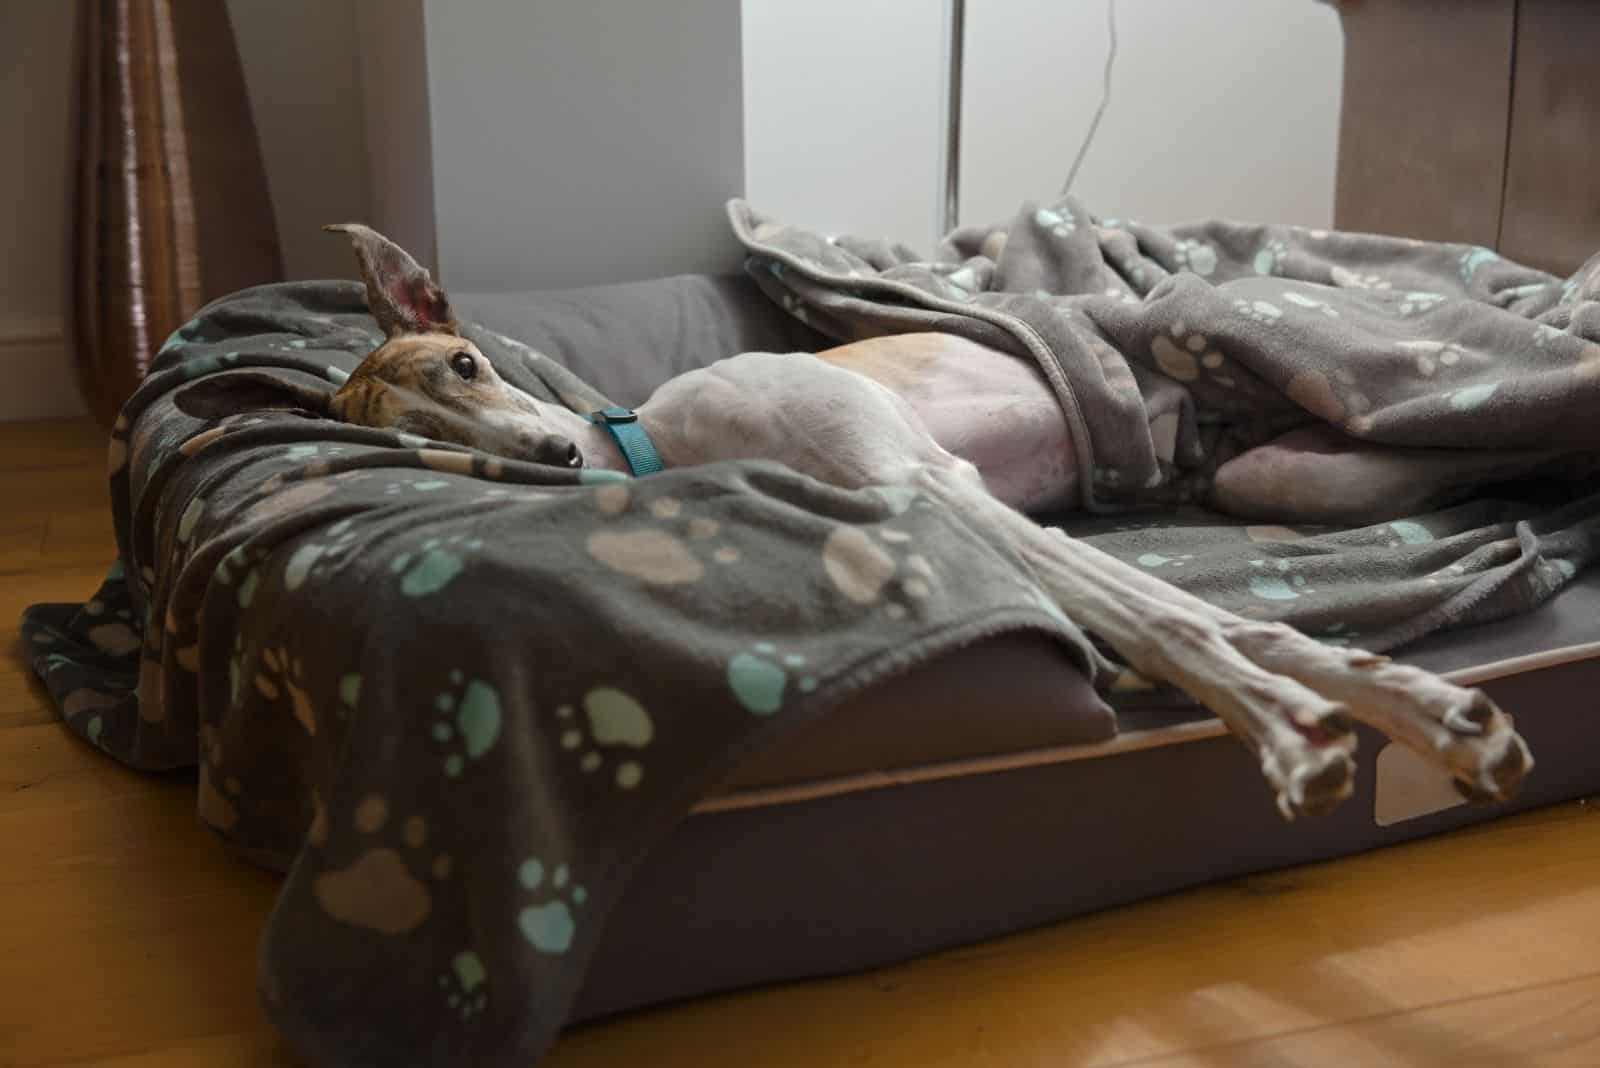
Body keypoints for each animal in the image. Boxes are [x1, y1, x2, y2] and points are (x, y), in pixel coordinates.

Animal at [172, 225, 1523, 818]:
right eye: (425, 442)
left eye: (462, 361)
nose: (551, 459)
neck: (669, 439)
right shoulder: (934, 501)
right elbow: (1174, 622)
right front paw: (1358, 712)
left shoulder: (930, 481)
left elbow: (1178, 622)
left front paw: (1335, 724)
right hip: (1287, 479)